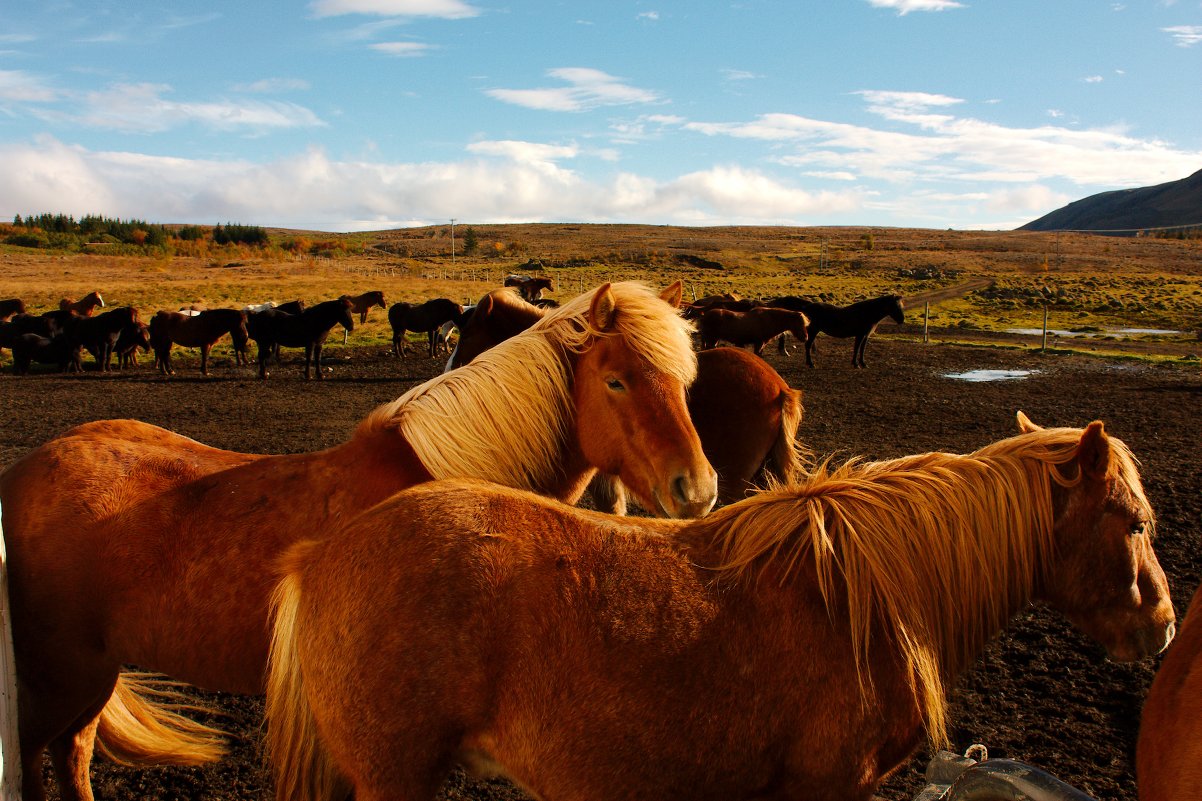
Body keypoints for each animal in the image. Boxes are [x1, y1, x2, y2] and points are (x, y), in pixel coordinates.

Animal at [0, 279, 711, 798]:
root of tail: (27, 470)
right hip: (58, 676)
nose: (697, 489)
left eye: (686, 381)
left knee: (74, 751)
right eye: (616, 380)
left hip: (90, 674)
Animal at [769, 293, 903, 368]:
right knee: (808, 346)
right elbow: (856, 349)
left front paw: (863, 363)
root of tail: (806, 307)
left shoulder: (865, 336)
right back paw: (811, 364)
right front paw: (856, 364)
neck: (866, 312)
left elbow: (862, 350)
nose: (902, 320)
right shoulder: (860, 335)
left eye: (901, 305)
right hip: (813, 331)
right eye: (895, 306)